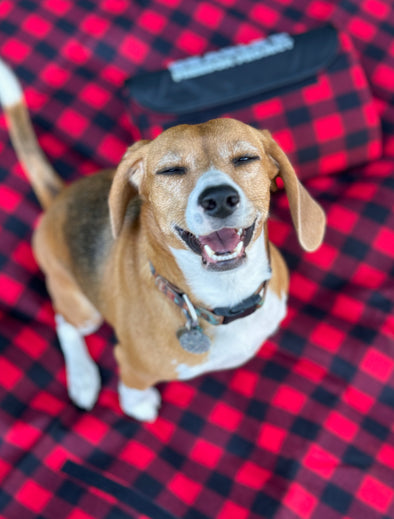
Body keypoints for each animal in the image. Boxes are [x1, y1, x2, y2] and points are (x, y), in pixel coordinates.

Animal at [0, 58, 326, 422]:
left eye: (245, 159)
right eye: (171, 170)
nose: (219, 198)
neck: (224, 295)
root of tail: (60, 196)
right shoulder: (132, 366)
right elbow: (133, 391)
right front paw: (139, 404)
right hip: (83, 308)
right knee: (64, 321)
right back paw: (83, 379)